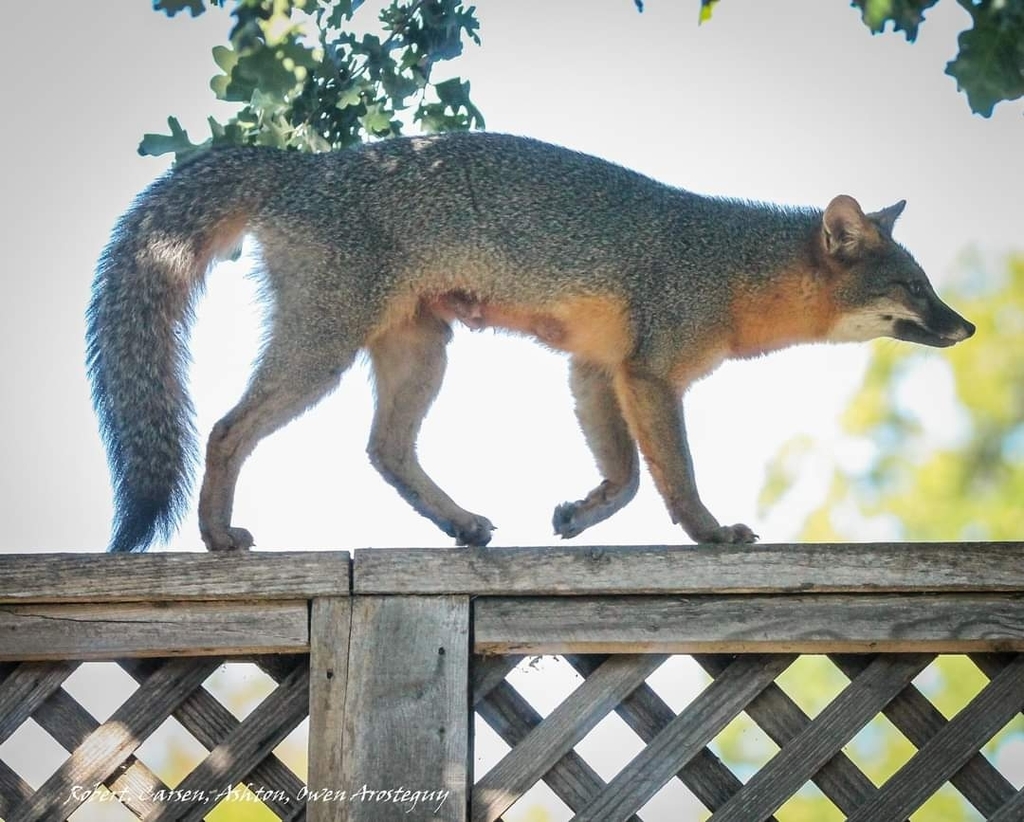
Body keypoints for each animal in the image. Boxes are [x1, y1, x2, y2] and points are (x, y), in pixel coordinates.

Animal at [86, 132, 975, 553]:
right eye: (915, 289)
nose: (965, 326)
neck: (728, 264)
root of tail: (302, 163)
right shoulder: (650, 376)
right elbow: (673, 477)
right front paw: (710, 532)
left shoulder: (595, 370)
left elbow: (625, 478)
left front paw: (582, 512)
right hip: (322, 354)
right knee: (226, 428)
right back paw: (215, 537)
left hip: (423, 352)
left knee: (385, 450)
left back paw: (459, 524)